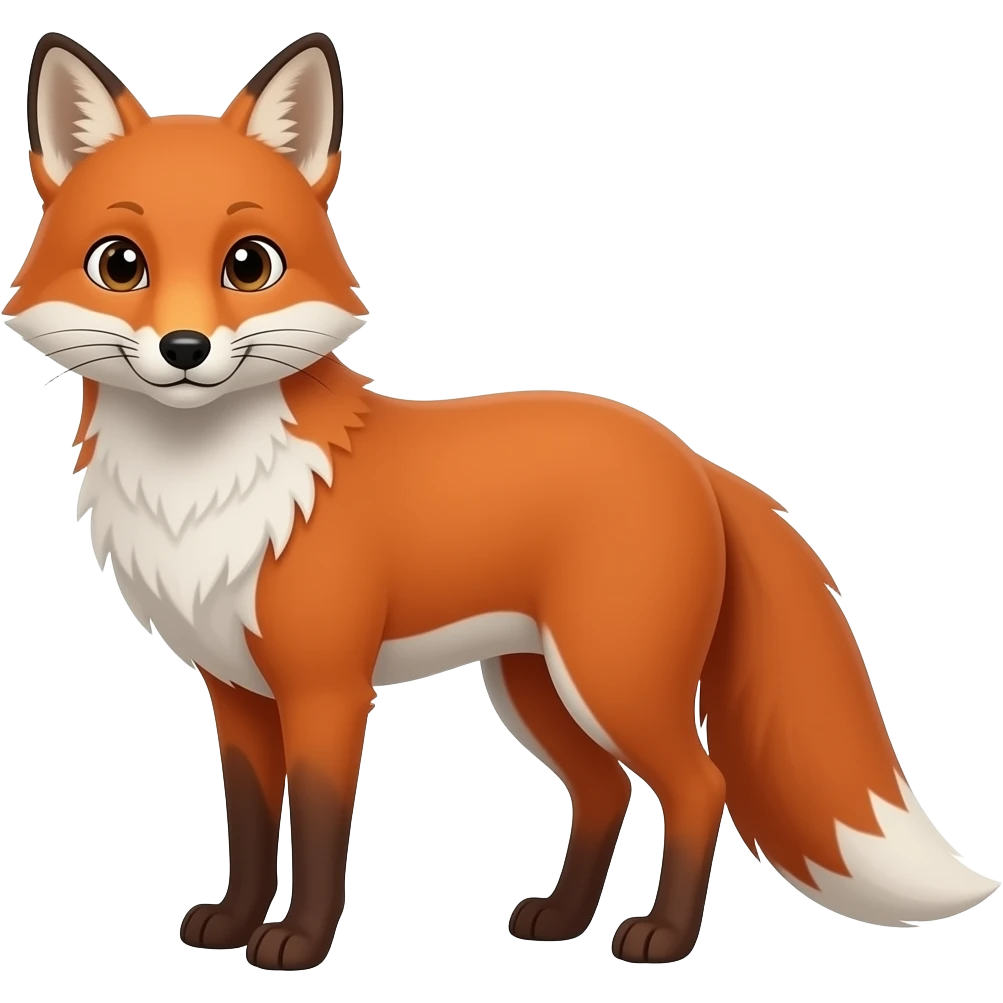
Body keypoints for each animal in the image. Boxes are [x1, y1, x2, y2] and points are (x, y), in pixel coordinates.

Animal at [4, 29, 999, 972]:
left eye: (249, 265)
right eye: (120, 264)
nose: (184, 349)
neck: (207, 490)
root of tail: (691, 456)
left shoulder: (328, 687)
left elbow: (319, 829)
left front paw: (299, 943)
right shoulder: (236, 692)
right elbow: (248, 823)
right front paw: (234, 922)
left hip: (611, 677)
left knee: (698, 784)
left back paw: (661, 937)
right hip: (536, 683)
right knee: (604, 789)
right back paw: (560, 918)